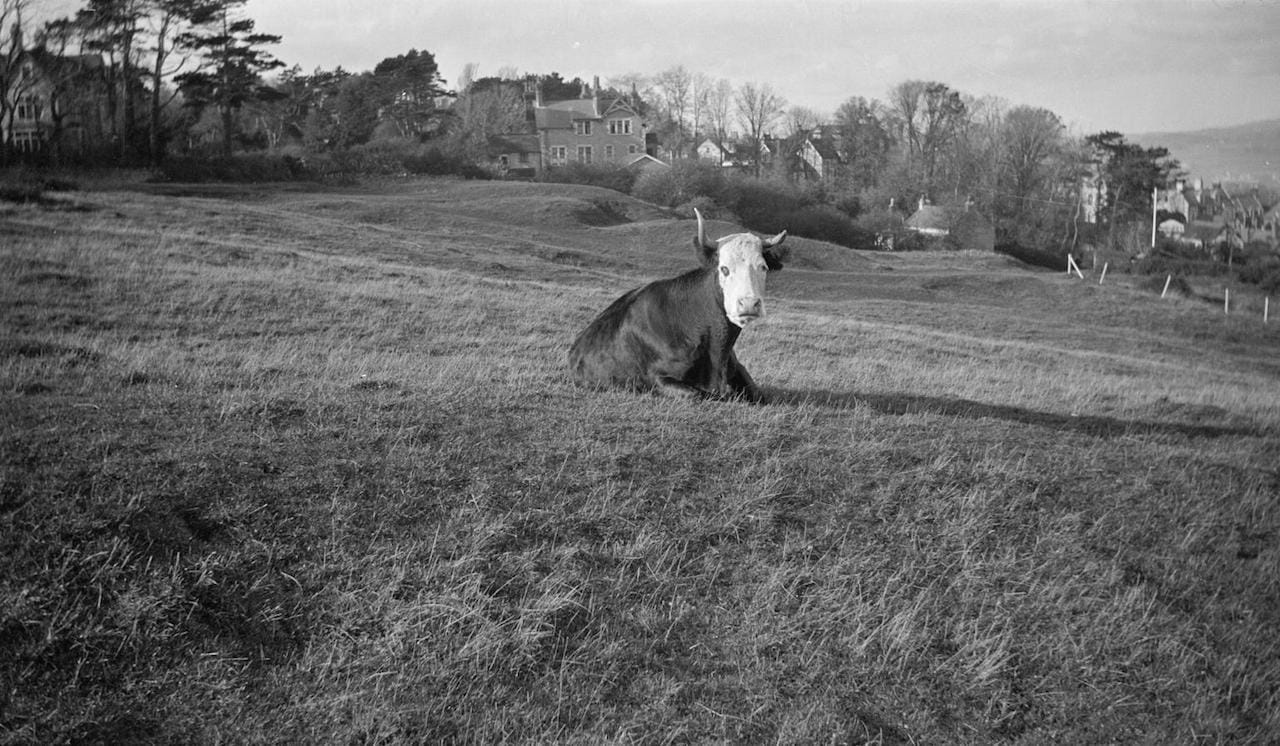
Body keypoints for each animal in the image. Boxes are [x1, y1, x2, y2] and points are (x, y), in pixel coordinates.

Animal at [568, 209, 788, 403]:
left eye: (763, 267)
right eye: (724, 268)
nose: (749, 303)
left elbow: (759, 394)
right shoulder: (657, 377)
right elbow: (697, 394)